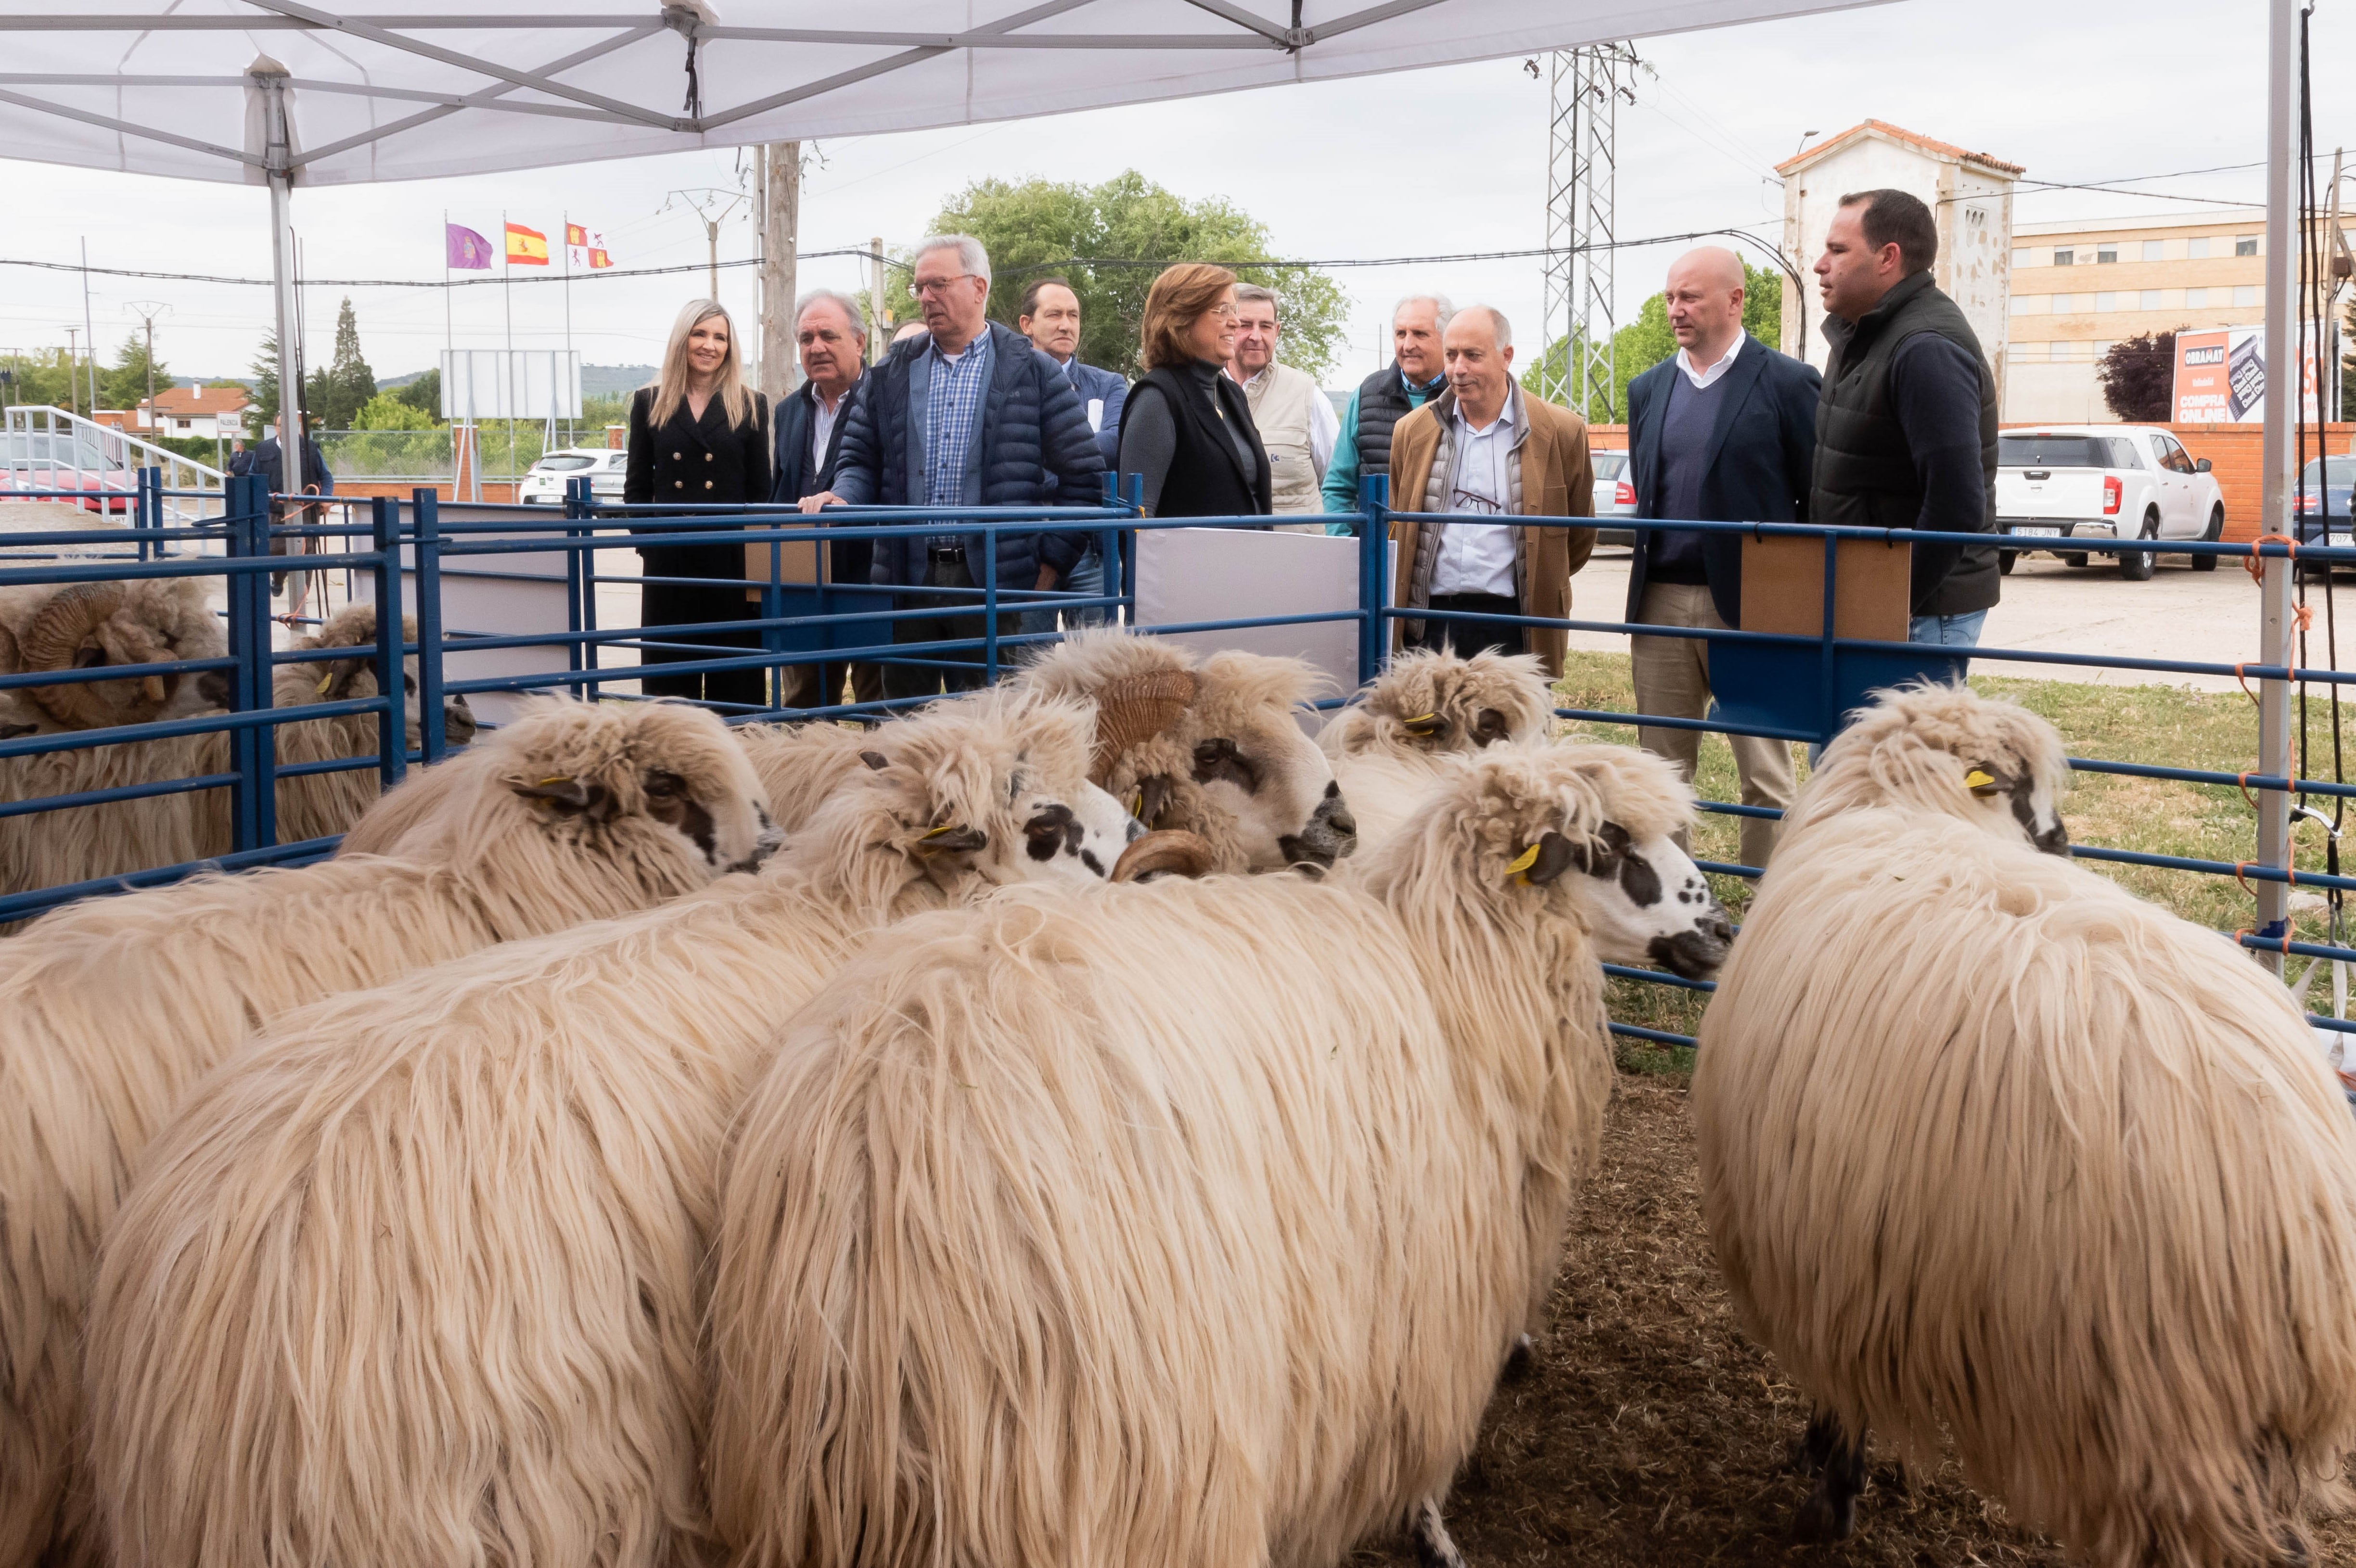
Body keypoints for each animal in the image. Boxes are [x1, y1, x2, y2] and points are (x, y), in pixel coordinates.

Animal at [697, 734, 1734, 1563]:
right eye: (1608, 845)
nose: (1721, 928)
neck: (1445, 959)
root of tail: (879, 1162)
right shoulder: (1422, 1294)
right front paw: (1434, 1532)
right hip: (1130, 1444)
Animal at [1696, 687, 2356, 1563]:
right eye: (2026, 795)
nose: (2064, 842)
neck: (1907, 807)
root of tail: (2307, 1204)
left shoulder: (1825, 1250)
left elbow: (1841, 1397)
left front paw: (1829, 1486)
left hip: (2163, 1415)